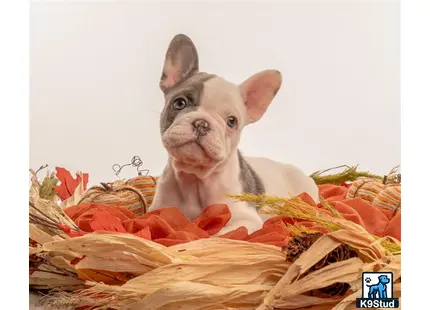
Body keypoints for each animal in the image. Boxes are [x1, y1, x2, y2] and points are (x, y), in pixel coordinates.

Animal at [149, 34, 318, 234]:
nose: (202, 124)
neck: (195, 178)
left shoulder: (244, 218)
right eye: (179, 103)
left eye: (232, 121)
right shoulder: (158, 209)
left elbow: (219, 235)